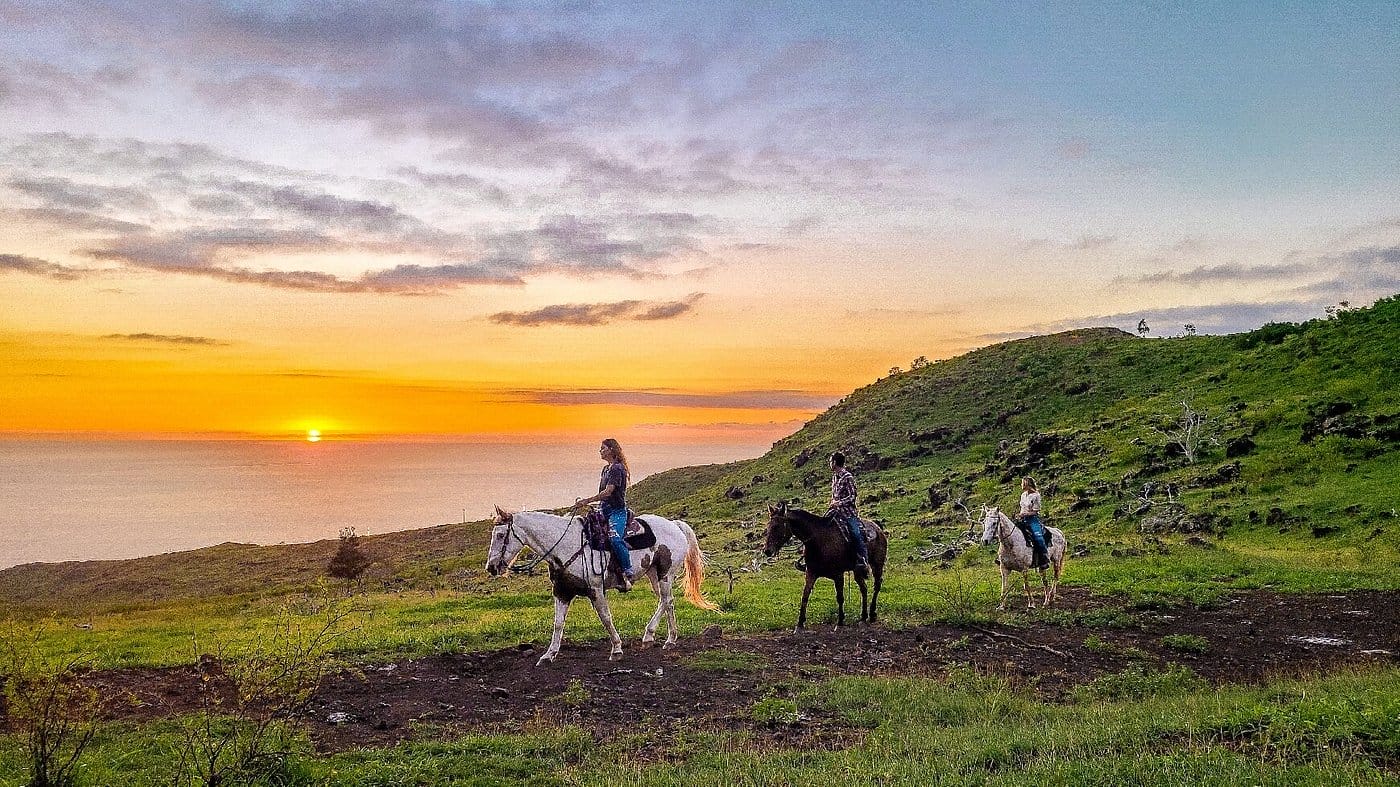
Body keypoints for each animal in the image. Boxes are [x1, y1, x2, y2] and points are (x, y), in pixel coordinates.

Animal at [484, 504, 722, 663]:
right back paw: (668, 639)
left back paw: (651, 635)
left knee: (667, 600)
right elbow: (558, 623)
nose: (491, 567)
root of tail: (674, 524)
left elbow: (606, 618)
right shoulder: (562, 591)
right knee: (667, 602)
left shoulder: (596, 590)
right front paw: (549, 655)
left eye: (501, 534)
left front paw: (616, 649)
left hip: (665, 573)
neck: (566, 544)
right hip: (654, 574)